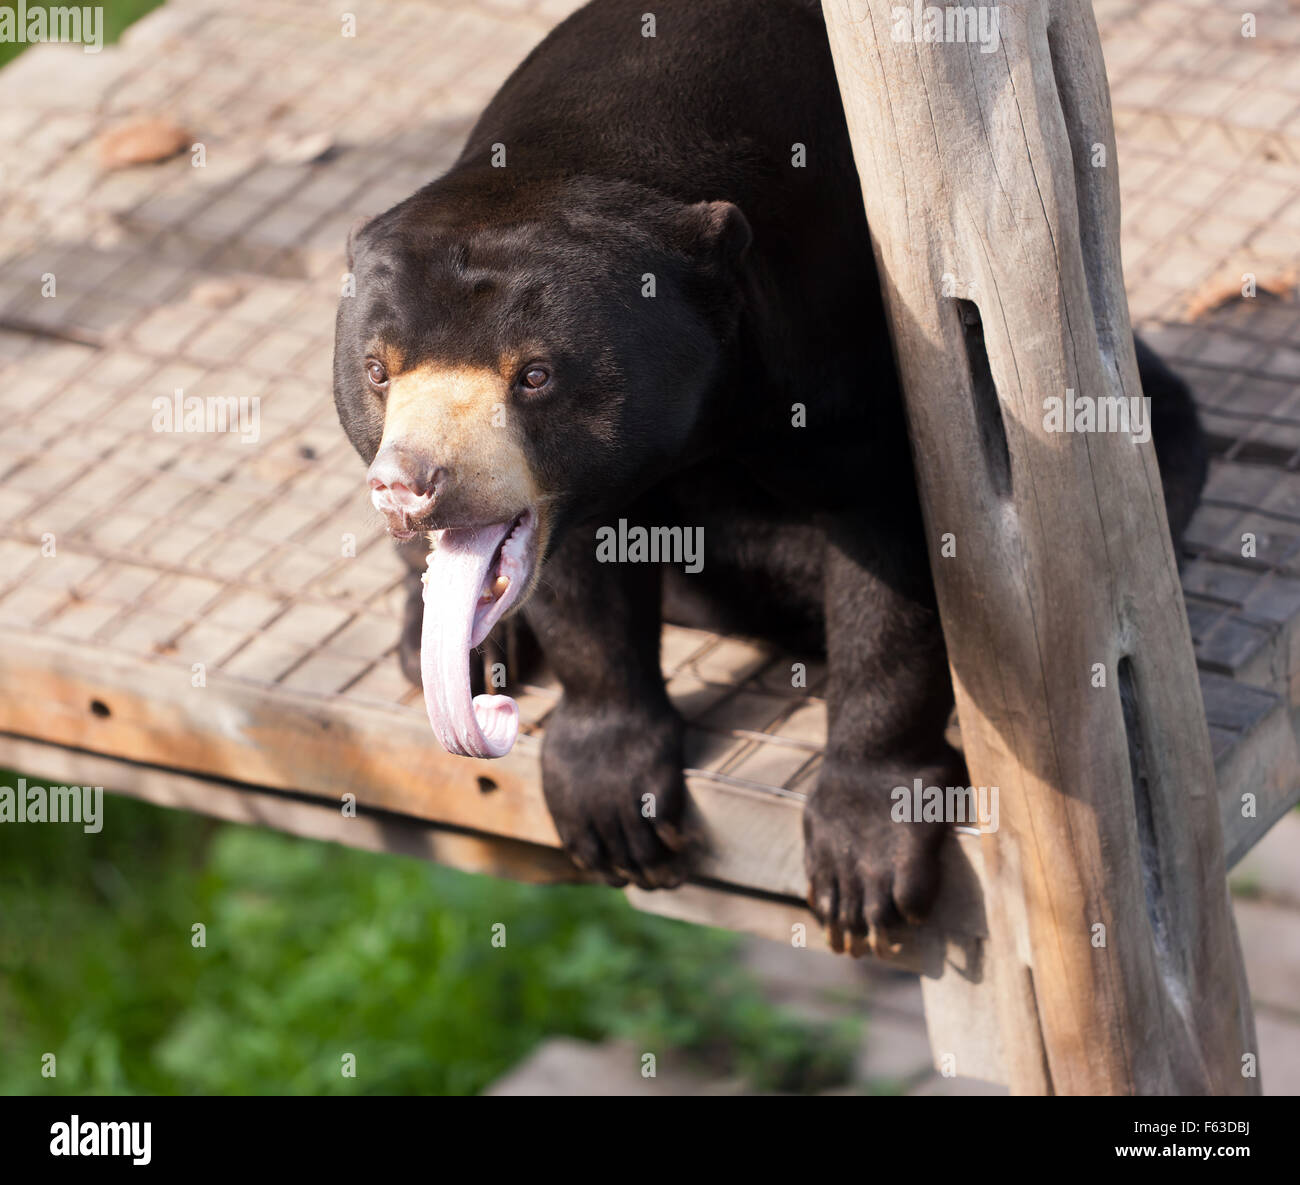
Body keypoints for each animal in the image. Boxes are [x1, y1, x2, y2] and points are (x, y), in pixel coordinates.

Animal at [338, 0, 1206, 951]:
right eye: (378, 370)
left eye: (532, 374)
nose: (413, 484)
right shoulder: (568, 489)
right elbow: (576, 585)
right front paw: (614, 806)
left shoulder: (850, 340)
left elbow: (893, 551)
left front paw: (866, 865)